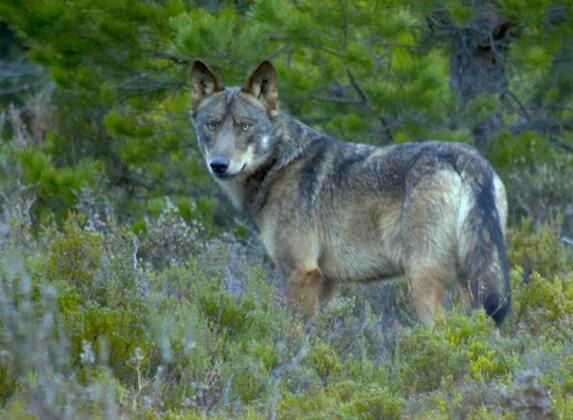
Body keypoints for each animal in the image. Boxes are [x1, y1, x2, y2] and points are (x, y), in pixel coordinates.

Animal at [188, 60, 510, 326]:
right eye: (212, 125)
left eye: (245, 126)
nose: (219, 165)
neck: (280, 165)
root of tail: (466, 156)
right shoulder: (328, 281)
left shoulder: (300, 272)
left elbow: (293, 335)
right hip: (473, 284)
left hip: (423, 280)